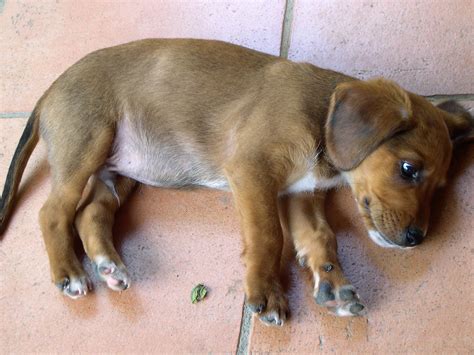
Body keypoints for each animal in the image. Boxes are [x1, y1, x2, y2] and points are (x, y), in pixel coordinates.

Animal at [0, 39, 472, 328]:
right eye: (408, 169)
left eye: (441, 186)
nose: (416, 240)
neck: (320, 116)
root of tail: (49, 90)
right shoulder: (252, 171)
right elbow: (267, 236)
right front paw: (265, 291)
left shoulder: (300, 194)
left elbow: (322, 239)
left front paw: (333, 286)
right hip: (88, 143)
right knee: (52, 212)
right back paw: (70, 273)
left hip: (117, 174)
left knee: (89, 214)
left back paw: (109, 267)